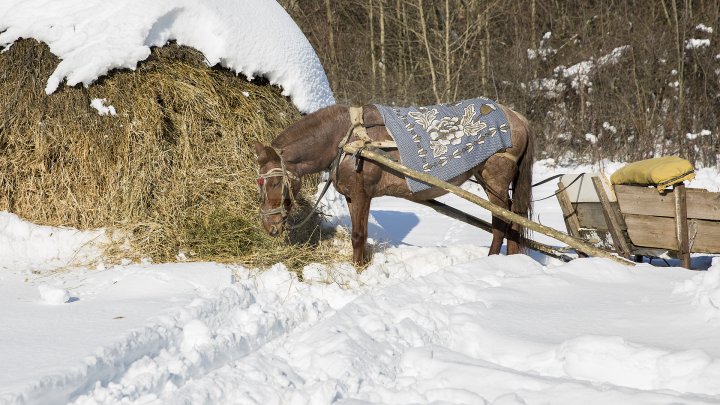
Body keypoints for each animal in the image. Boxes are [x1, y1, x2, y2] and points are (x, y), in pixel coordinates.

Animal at [256, 102, 532, 264]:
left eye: (274, 183)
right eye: (260, 182)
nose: (270, 227)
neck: (346, 138)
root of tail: (517, 117)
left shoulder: (362, 195)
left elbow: (358, 235)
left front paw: (358, 271)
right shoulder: (351, 197)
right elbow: (359, 235)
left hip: (495, 180)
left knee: (503, 219)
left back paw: (493, 260)